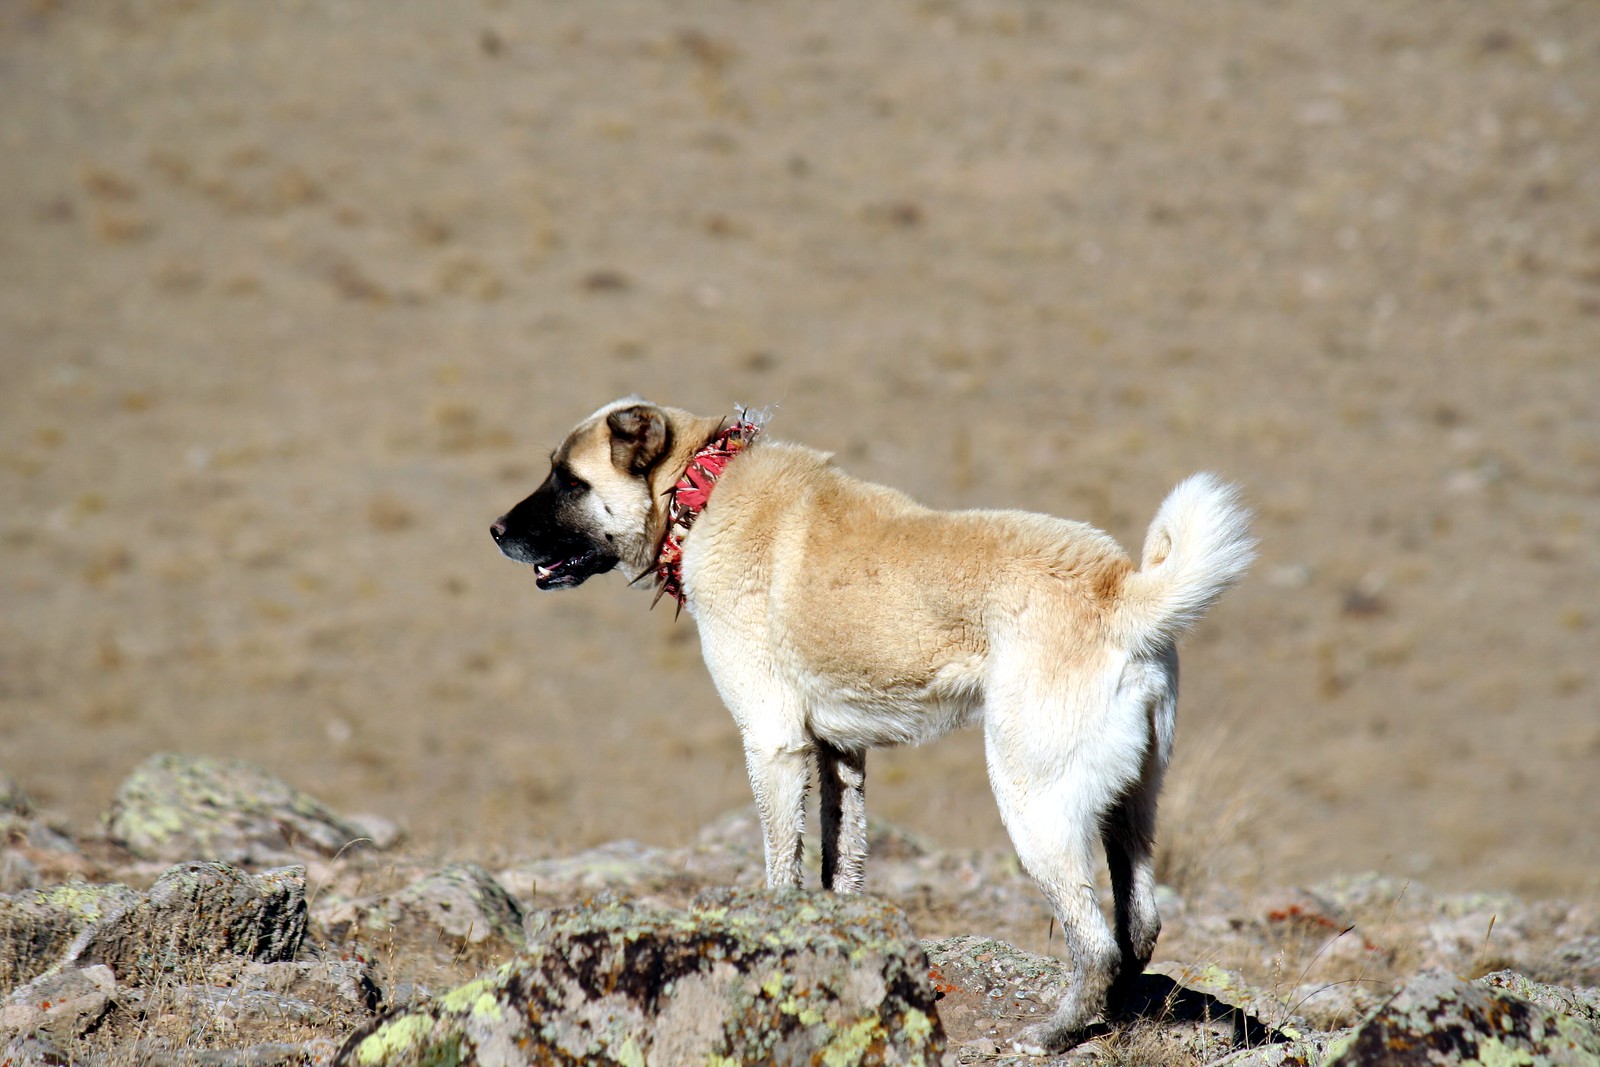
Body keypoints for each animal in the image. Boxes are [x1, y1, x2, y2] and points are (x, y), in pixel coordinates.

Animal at [486, 398, 1248, 1049]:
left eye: (568, 480)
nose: (494, 531)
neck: (696, 494)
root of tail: (1121, 592)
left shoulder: (773, 743)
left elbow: (783, 867)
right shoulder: (840, 754)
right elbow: (841, 865)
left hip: (1032, 798)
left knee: (1096, 943)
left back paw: (1053, 1033)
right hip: (1133, 800)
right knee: (1139, 925)